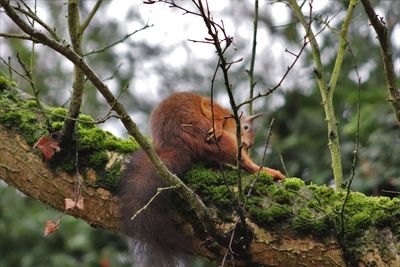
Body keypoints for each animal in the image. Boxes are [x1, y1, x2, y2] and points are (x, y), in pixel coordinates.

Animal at [119, 92, 284, 267]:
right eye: (245, 127)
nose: (247, 144)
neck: (231, 122)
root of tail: (174, 145)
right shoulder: (215, 109)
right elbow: (211, 109)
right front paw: (218, 126)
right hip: (206, 134)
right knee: (242, 162)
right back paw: (266, 171)